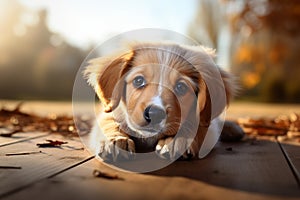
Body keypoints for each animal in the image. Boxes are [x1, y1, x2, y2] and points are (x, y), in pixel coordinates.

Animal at [84, 42, 237, 161]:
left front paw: (176, 139)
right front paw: (115, 140)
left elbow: (195, 124)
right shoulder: (111, 111)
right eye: (138, 81)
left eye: (181, 87)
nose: (154, 114)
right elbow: (109, 122)